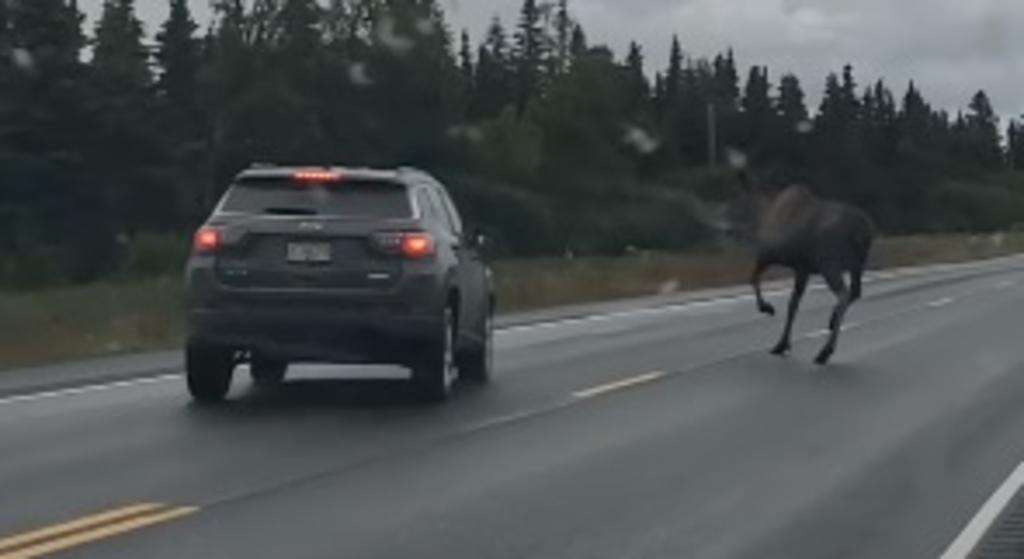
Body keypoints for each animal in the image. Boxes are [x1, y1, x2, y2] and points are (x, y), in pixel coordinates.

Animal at [741, 167, 876, 362]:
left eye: (741, 198)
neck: (765, 207)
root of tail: (863, 232)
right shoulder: (802, 269)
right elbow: (793, 304)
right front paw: (782, 344)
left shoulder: (768, 255)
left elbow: (753, 279)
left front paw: (767, 308)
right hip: (857, 266)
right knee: (855, 292)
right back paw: (832, 320)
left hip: (830, 265)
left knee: (844, 294)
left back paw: (825, 351)